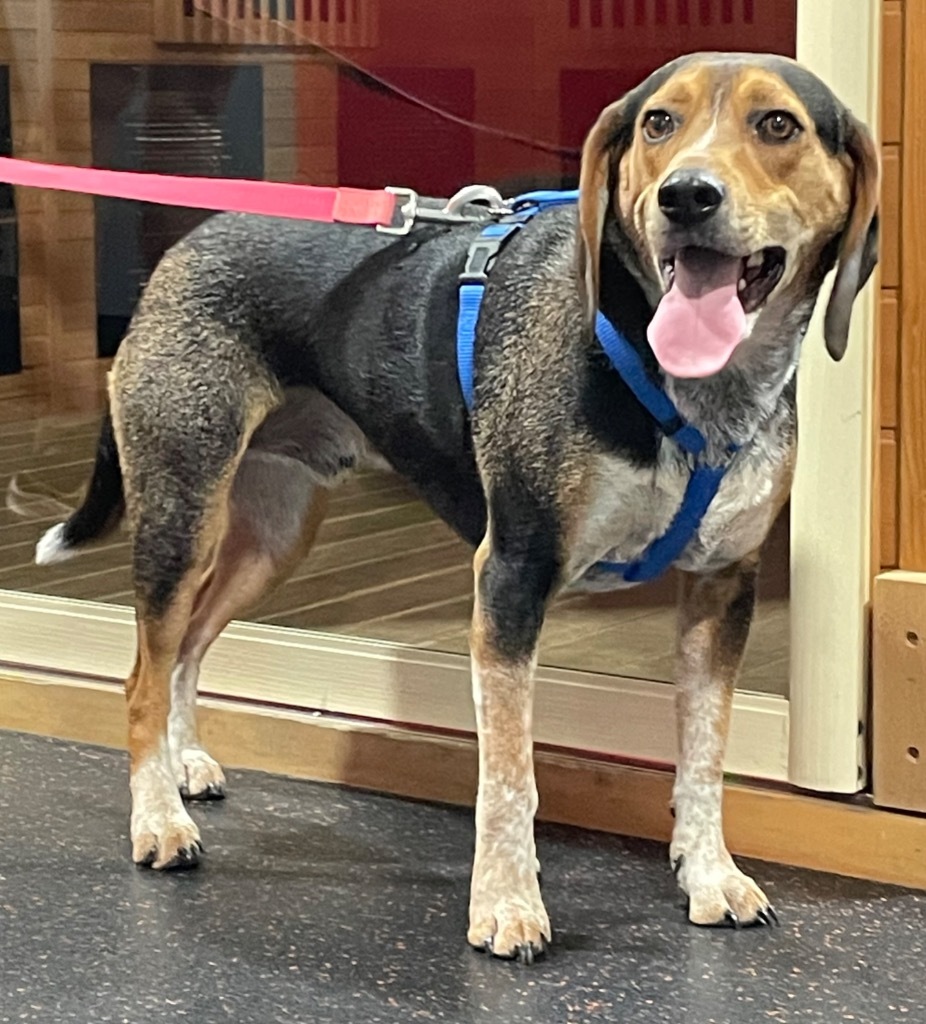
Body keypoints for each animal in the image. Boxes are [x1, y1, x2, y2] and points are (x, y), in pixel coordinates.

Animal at [36, 54, 876, 966]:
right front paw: (507, 904)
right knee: (142, 675)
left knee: (187, 647)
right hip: (182, 510)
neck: (688, 388)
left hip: (274, 536)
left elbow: (704, 752)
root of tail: (185, 246)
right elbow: (509, 775)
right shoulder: (513, 576)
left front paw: (710, 874)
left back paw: (183, 763)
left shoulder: (721, 587)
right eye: (659, 122)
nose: (687, 196)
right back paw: (158, 819)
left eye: (778, 124)